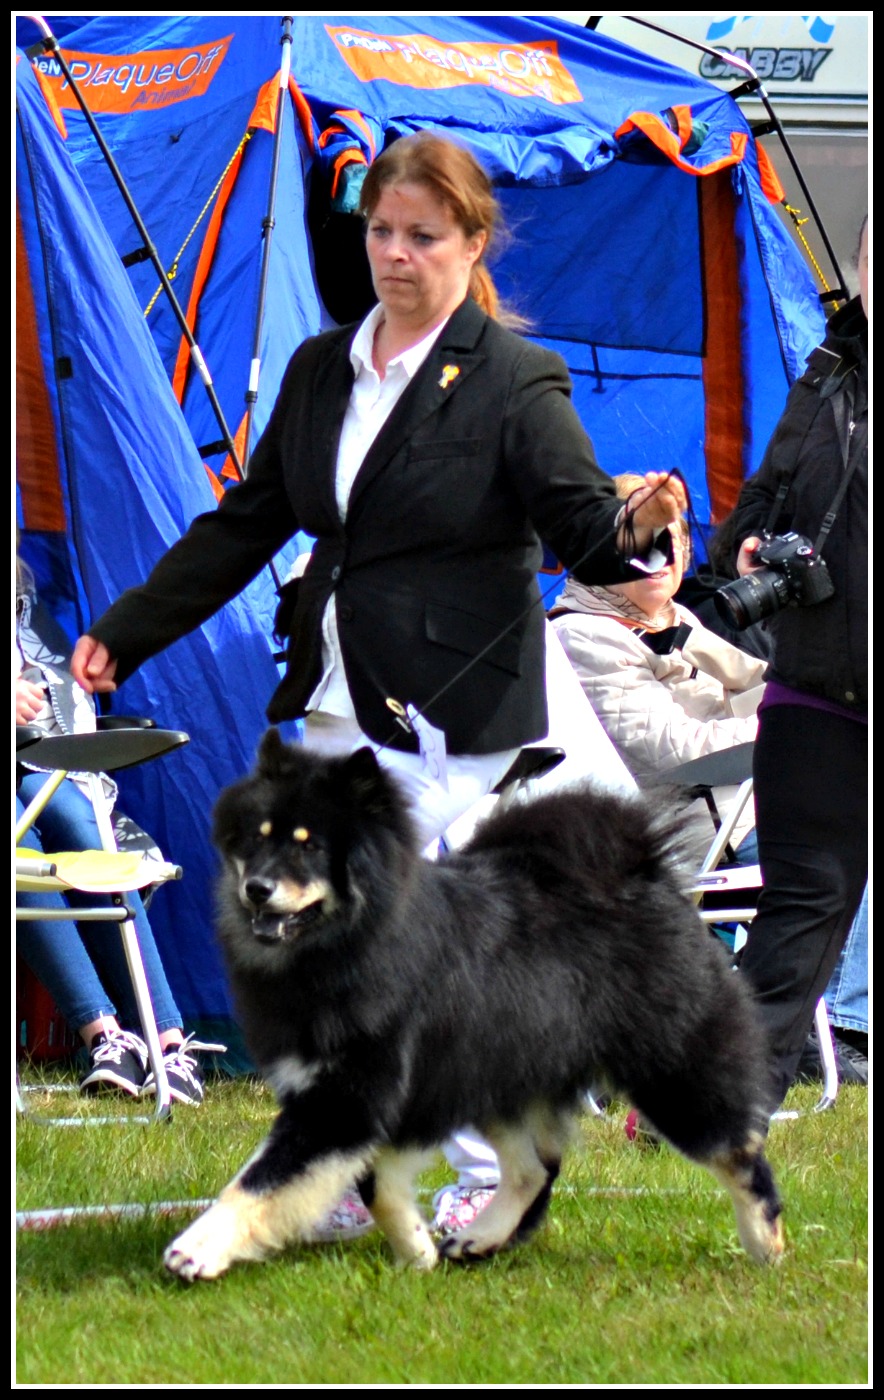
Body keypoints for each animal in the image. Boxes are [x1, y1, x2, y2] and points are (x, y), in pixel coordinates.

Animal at [164, 728, 783, 1281]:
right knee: (535, 1169)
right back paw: (481, 1237)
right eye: (256, 840)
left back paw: (766, 1243)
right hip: (503, 1070)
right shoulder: (378, 1097)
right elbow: (371, 1182)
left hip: (669, 1073)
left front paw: (196, 1250)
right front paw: (416, 1250)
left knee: (738, 1151)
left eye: (309, 844)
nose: (257, 889)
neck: (353, 943)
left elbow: (260, 1181)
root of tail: (651, 875)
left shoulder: (347, 1097)